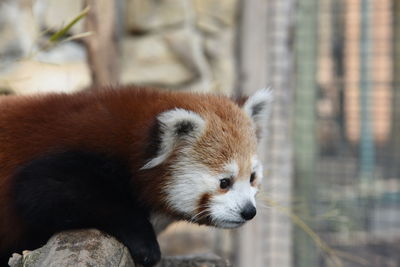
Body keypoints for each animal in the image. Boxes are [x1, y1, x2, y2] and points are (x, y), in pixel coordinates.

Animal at [0, 87, 272, 266]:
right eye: (224, 182)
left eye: (251, 178)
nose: (249, 211)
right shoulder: (62, 157)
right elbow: (45, 193)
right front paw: (145, 244)